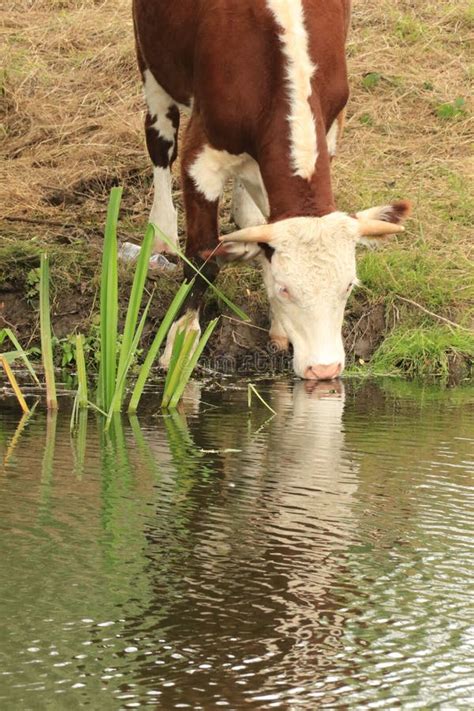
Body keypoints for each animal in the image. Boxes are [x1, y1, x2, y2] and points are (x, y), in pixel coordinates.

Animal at [131, 0, 410, 382]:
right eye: (285, 289)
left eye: (349, 286)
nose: (325, 369)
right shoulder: (201, 154)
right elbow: (204, 258)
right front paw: (181, 341)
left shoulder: (332, 126)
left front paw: (279, 325)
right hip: (151, 59)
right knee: (160, 139)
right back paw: (161, 232)